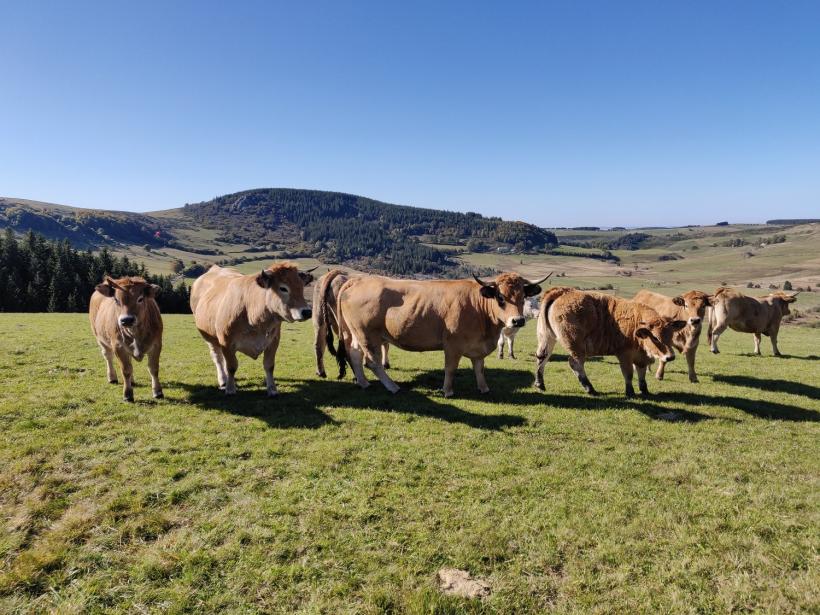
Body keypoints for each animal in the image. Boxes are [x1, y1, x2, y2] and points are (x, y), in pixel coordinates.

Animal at [191, 262, 316, 398]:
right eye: (283, 288)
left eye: (301, 287)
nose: (307, 312)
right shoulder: (226, 341)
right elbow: (231, 366)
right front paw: (230, 388)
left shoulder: (273, 341)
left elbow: (269, 365)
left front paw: (272, 389)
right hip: (209, 338)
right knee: (217, 357)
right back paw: (223, 380)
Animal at [334, 272, 552, 398]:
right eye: (500, 297)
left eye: (523, 296)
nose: (518, 321)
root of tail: (357, 280)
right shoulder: (453, 345)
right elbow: (450, 369)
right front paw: (448, 391)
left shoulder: (478, 346)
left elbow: (479, 368)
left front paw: (483, 388)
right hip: (368, 335)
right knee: (372, 362)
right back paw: (392, 387)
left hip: (356, 333)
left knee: (354, 355)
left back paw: (364, 383)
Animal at [536, 288, 688, 398]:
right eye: (655, 337)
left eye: (671, 335)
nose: (670, 357)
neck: (636, 322)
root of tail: (562, 291)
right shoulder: (624, 354)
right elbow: (628, 374)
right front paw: (630, 392)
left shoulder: (640, 357)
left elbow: (641, 373)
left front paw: (644, 390)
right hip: (576, 347)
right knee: (575, 364)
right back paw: (590, 389)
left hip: (547, 337)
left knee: (542, 357)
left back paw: (540, 383)